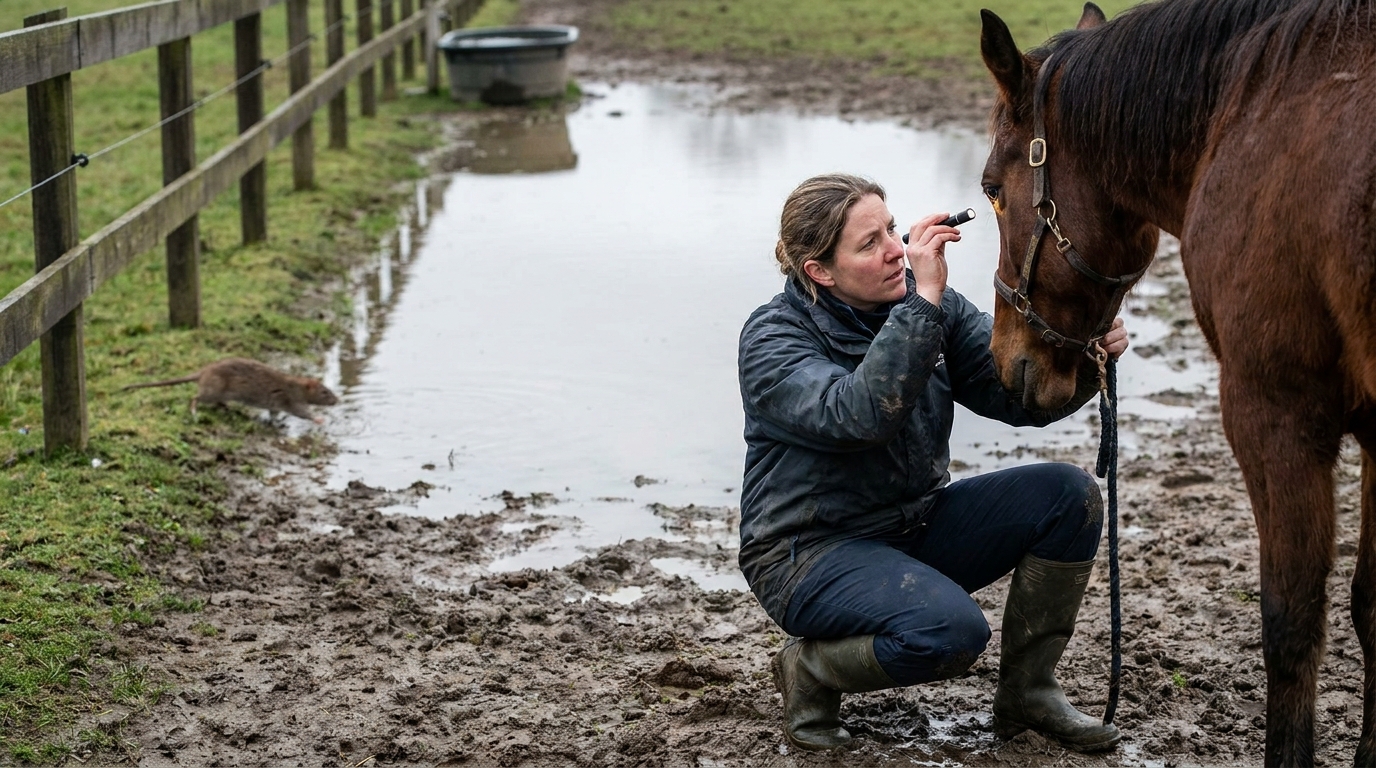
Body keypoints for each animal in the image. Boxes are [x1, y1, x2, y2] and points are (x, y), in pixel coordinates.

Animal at [976, 0, 1376, 765]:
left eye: (991, 189)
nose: (1005, 360)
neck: (1250, 106)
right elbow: (1373, 606)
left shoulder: (1275, 412)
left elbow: (1291, 625)